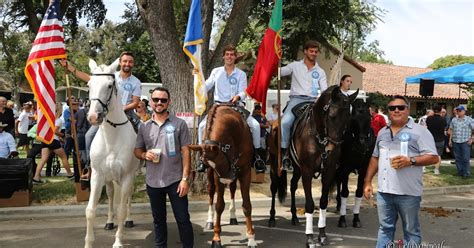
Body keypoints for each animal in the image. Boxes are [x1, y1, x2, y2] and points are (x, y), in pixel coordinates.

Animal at [84, 58, 141, 248]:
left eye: (109, 85)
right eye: (89, 84)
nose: (93, 117)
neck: (112, 137)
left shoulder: (127, 176)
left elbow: (121, 210)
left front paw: (118, 241)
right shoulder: (97, 175)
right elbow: (90, 210)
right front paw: (89, 243)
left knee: (128, 197)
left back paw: (129, 220)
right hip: (108, 178)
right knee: (109, 195)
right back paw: (109, 222)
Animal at [188, 103, 256, 248]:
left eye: (220, 159)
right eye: (210, 164)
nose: (226, 178)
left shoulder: (245, 172)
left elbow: (247, 205)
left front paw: (251, 238)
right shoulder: (216, 175)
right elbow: (219, 205)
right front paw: (216, 238)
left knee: (232, 190)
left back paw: (233, 216)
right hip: (211, 177)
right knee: (211, 193)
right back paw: (209, 221)